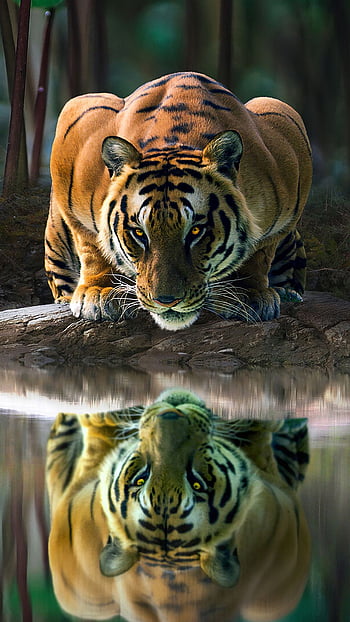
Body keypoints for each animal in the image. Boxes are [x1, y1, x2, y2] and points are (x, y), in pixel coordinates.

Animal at [44, 72, 312, 332]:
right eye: (139, 233)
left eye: (196, 231)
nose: (166, 301)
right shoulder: (77, 121)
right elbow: (92, 244)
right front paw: (100, 292)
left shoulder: (287, 134)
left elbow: (260, 251)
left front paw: (247, 293)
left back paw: (287, 293)